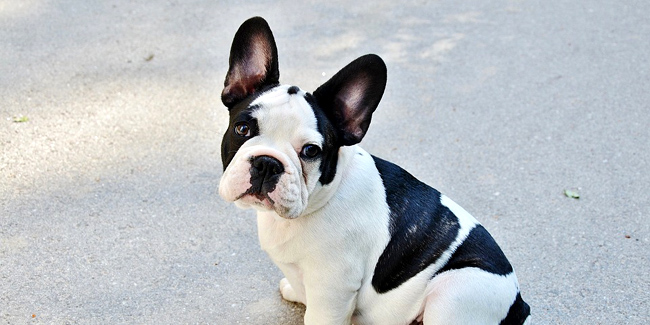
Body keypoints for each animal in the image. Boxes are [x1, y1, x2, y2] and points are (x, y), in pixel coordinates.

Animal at [218, 16, 528, 322]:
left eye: (311, 151)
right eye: (242, 128)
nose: (267, 163)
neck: (318, 201)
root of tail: (519, 303)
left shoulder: (332, 288)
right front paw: (294, 291)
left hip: (456, 290)